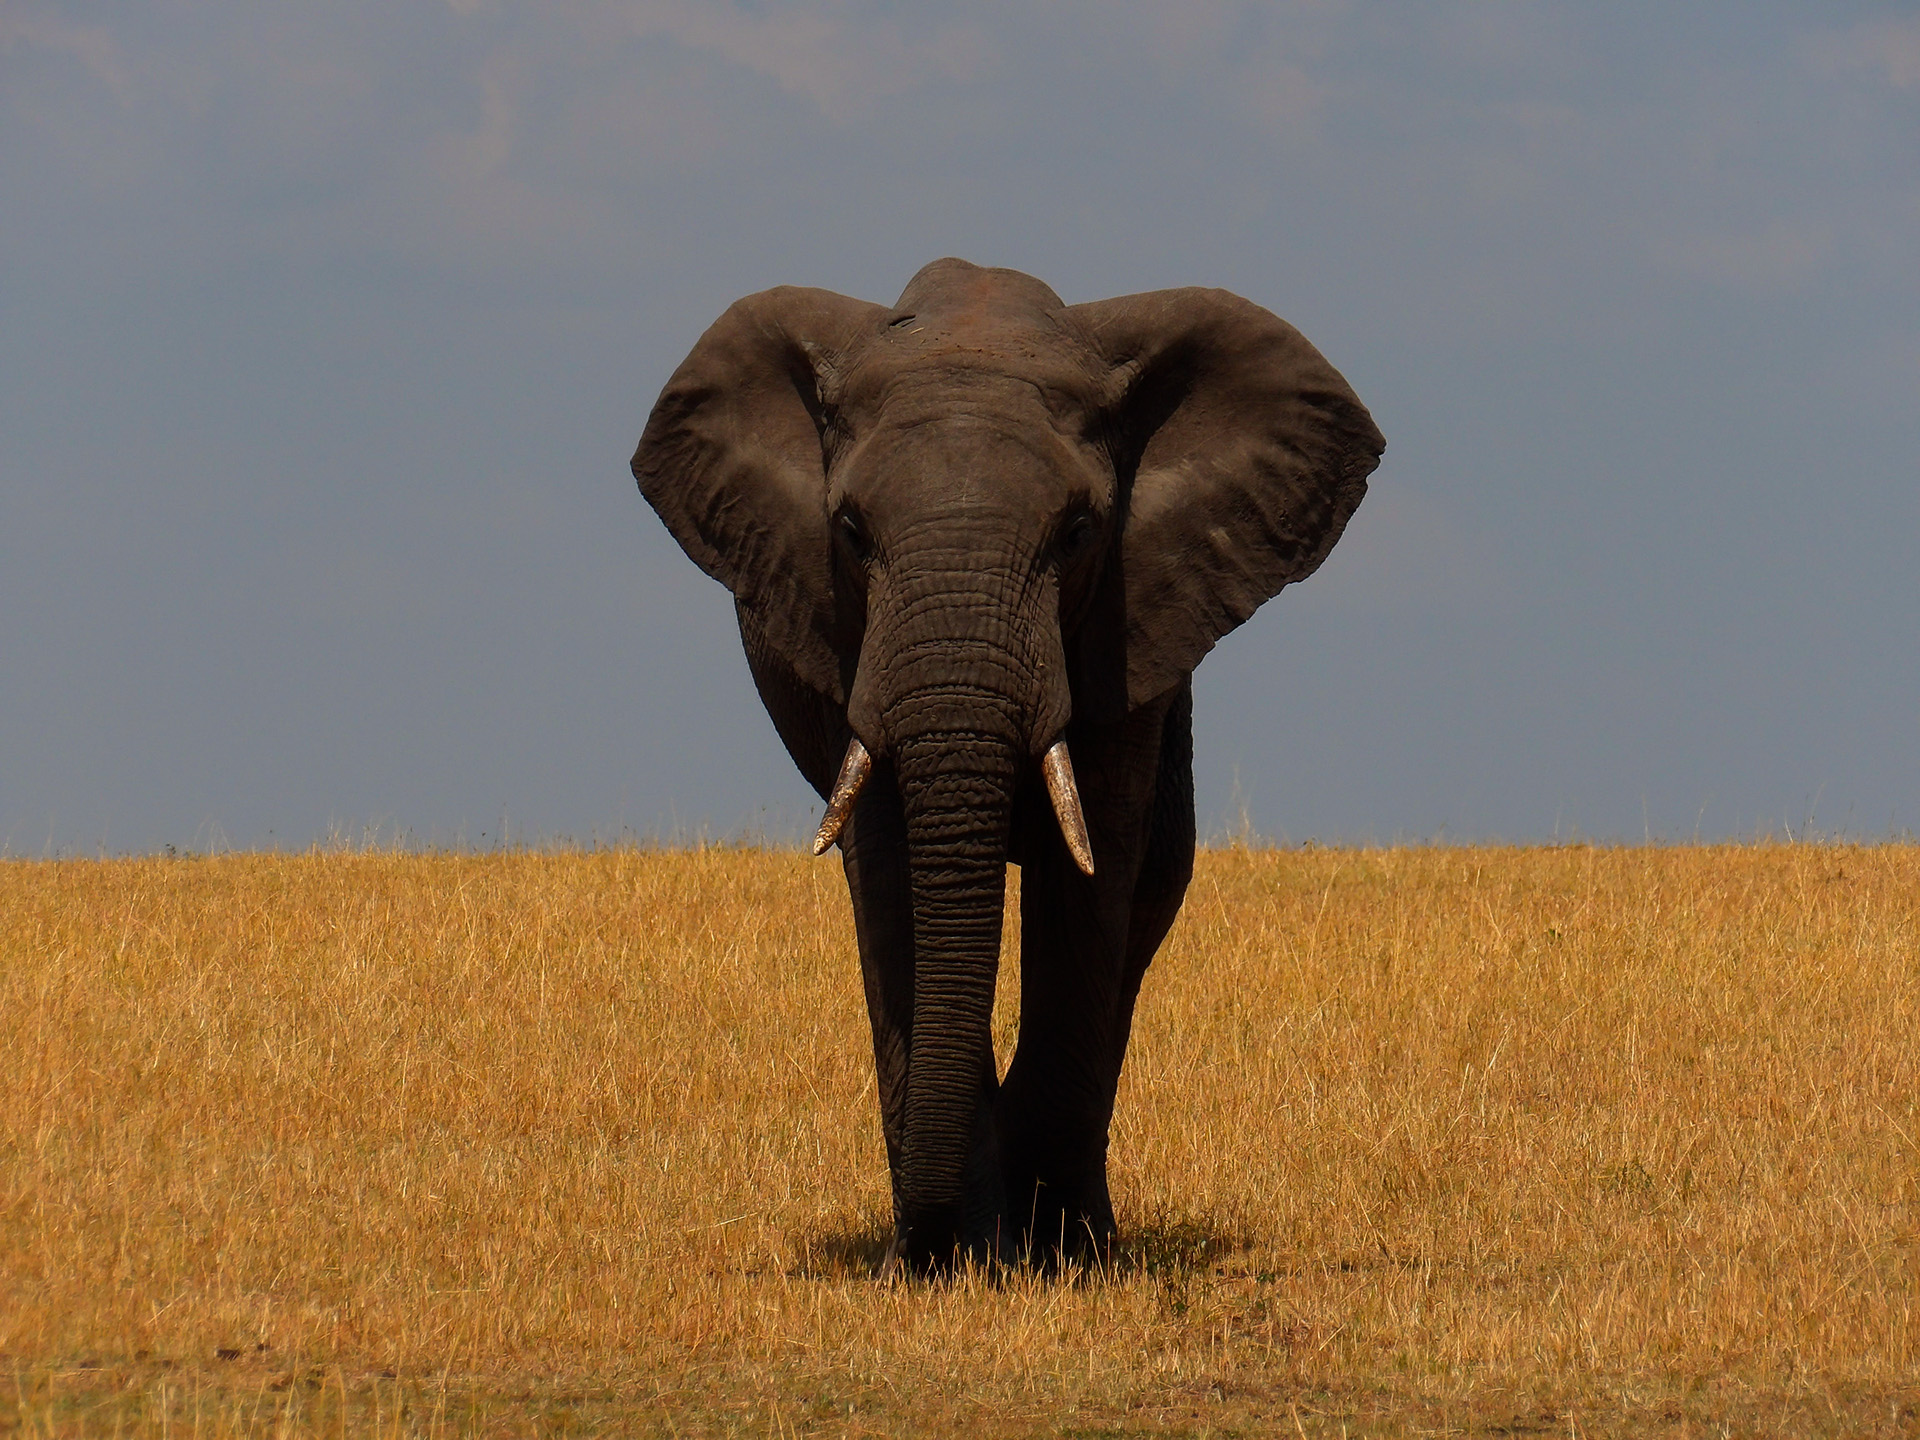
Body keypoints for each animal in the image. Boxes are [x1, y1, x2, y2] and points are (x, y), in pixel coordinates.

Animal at [637, 259, 1390, 1274]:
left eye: (1077, 533)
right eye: (850, 532)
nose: (913, 1247)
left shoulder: (1126, 624)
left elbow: (1091, 878)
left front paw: (1063, 1259)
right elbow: (892, 877)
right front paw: (960, 1261)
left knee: (1151, 892)